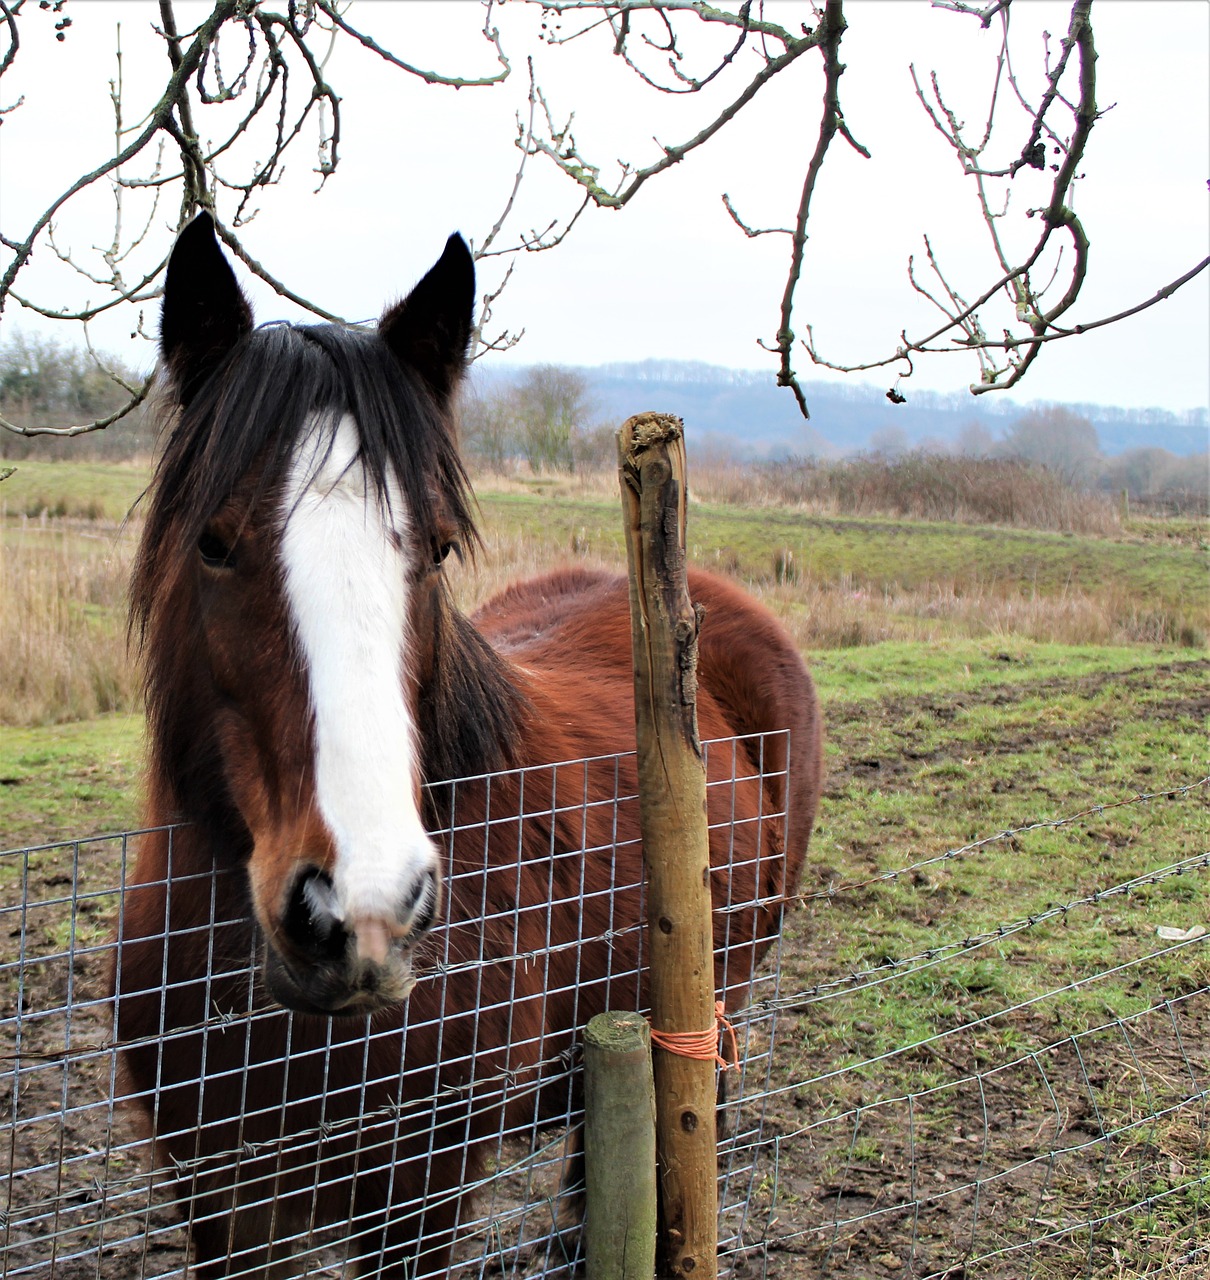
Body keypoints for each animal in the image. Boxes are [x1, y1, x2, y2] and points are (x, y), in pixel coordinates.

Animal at [113, 215, 824, 1274]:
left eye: (439, 549)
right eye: (211, 542)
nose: (361, 908)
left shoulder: (417, 1198)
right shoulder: (219, 1197)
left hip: (709, 1006)